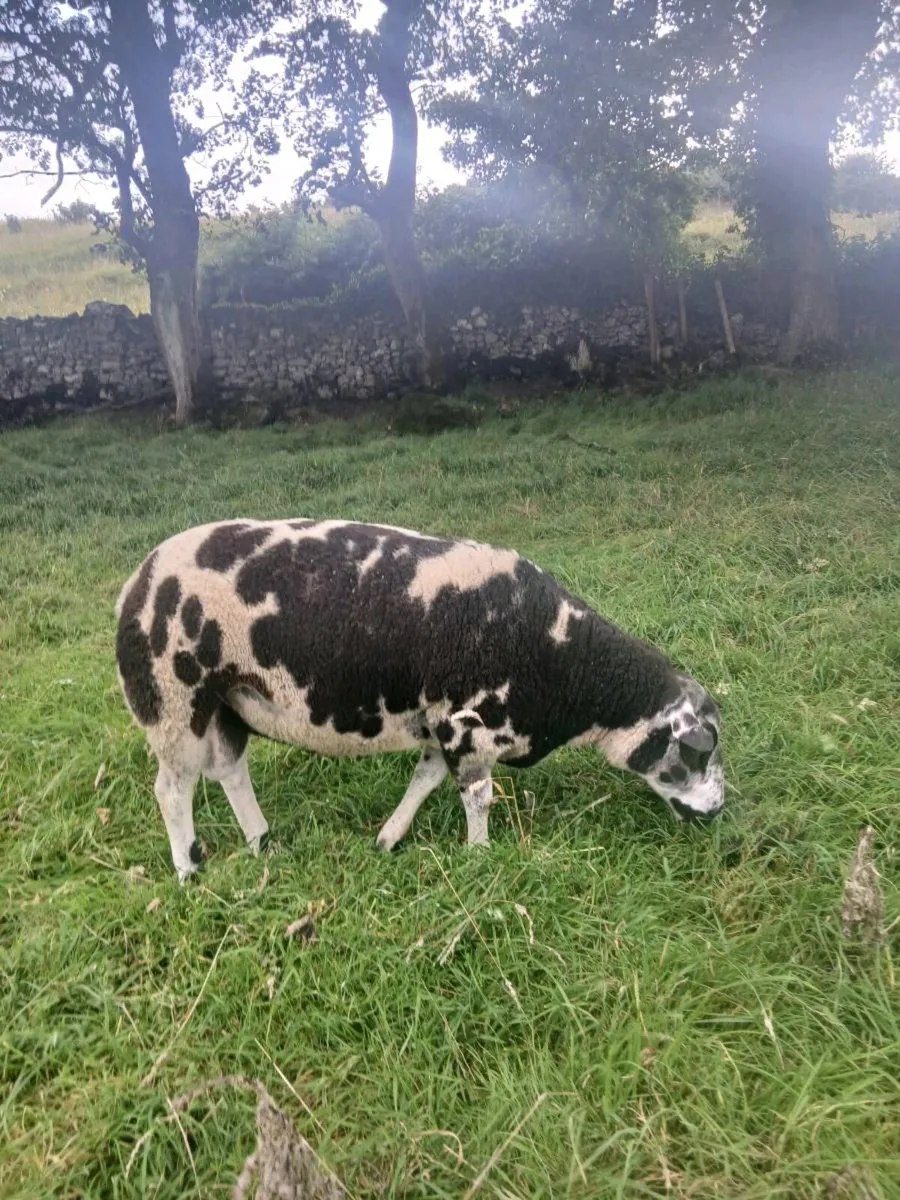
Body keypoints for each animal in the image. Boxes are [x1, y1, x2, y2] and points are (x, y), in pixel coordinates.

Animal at [115, 518, 724, 882]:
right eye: (699, 752)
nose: (717, 813)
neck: (570, 667)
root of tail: (135, 583)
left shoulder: (442, 725)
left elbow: (424, 780)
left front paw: (389, 838)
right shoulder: (470, 724)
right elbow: (479, 797)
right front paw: (480, 857)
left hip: (228, 702)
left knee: (229, 771)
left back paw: (261, 842)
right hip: (174, 701)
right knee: (172, 789)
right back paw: (188, 870)